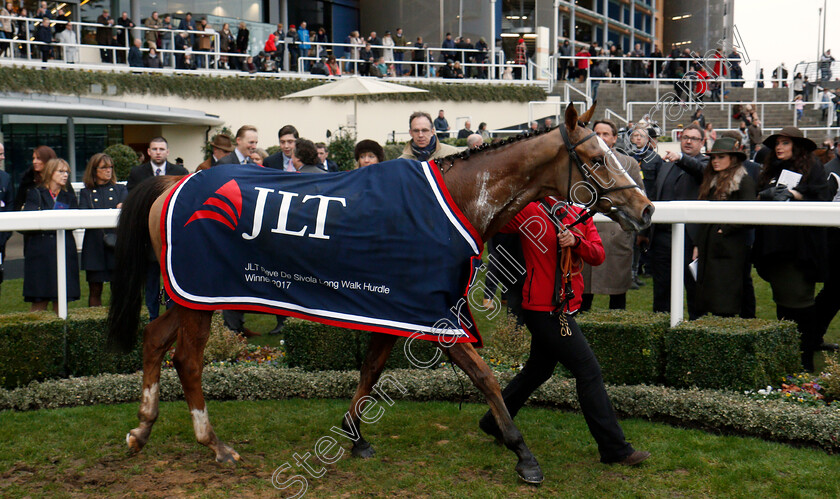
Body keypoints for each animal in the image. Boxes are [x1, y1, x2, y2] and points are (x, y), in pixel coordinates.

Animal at [106, 104, 656, 484]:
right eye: (595, 157)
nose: (647, 208)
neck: (456, 199)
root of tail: (173, 181)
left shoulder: (393, 307)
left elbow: (371, 369)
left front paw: (354, 435)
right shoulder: (432, 314)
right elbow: (486, 378)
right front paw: (522, 453)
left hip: (186, 296)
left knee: (154, 340)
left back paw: (141, 428)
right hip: (202, 296)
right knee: (188, 360)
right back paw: (213, 443)